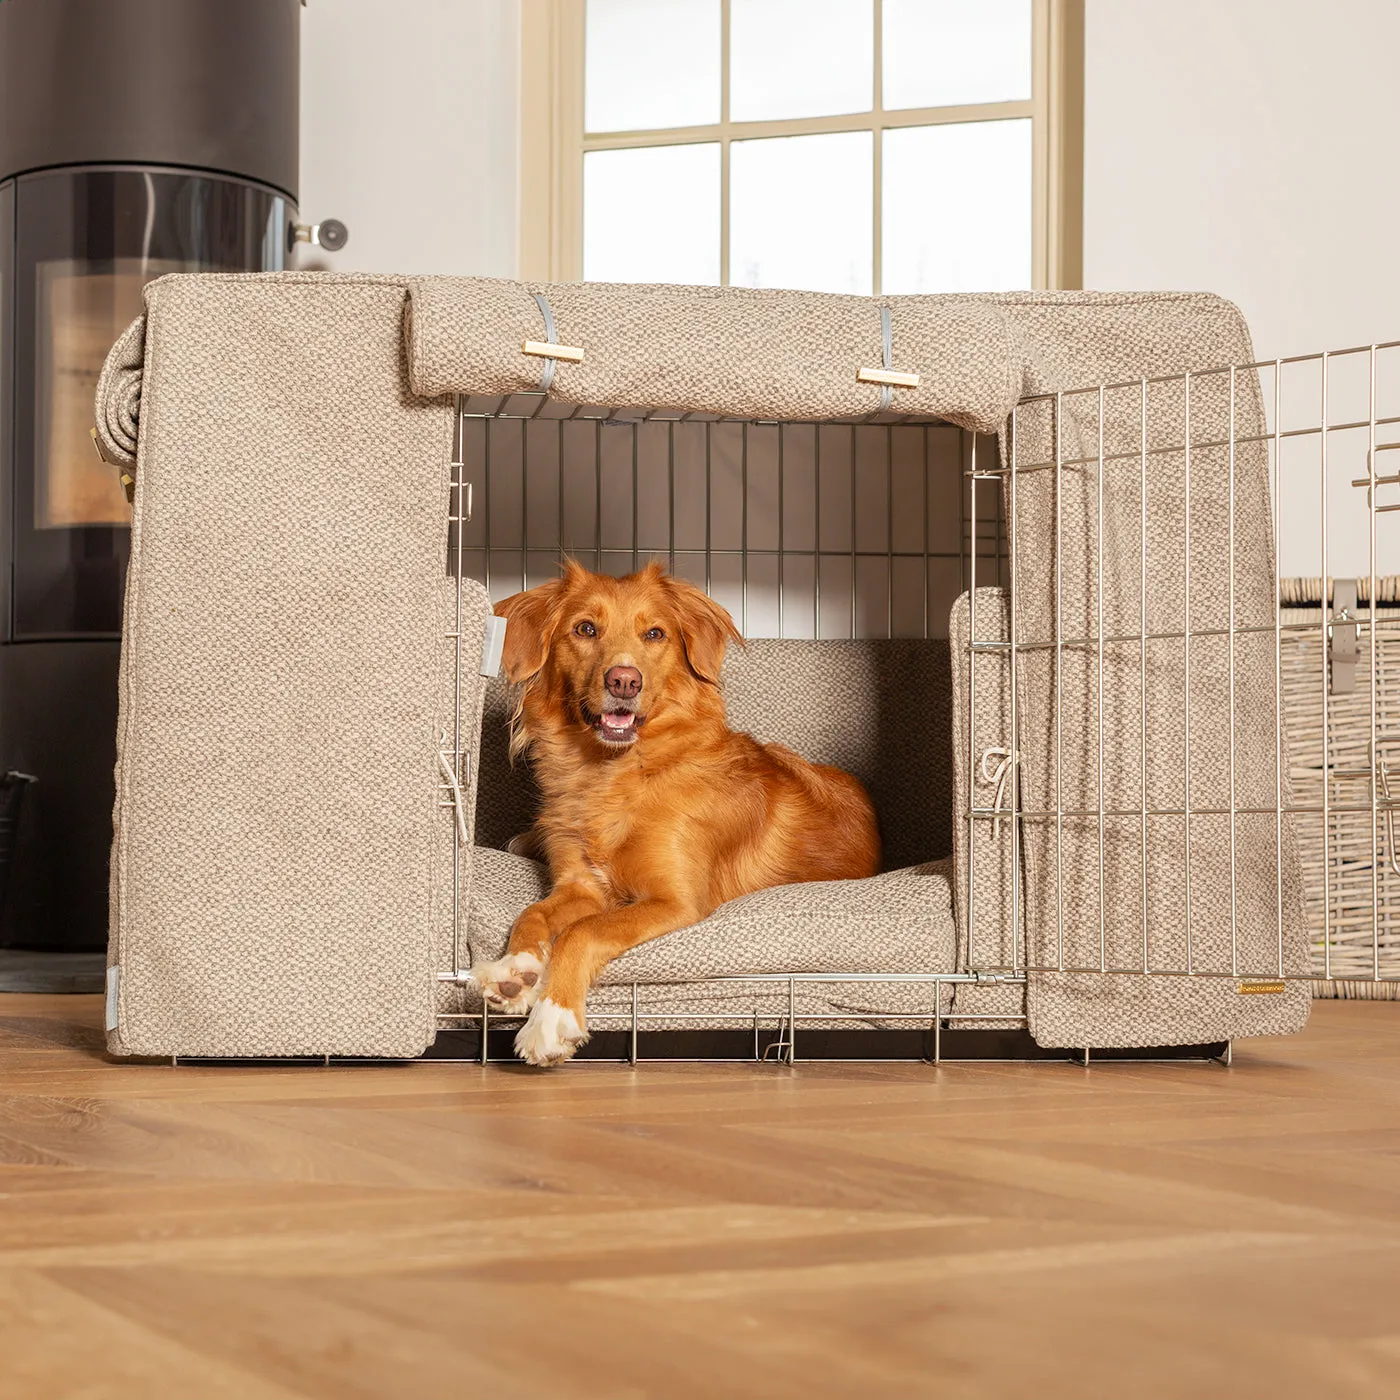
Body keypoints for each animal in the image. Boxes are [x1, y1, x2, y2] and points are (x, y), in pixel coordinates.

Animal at [476, 557, 879, 1058]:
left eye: (655, 634)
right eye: (585, 628)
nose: (624, 680)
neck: (614, 774)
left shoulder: (677, 902)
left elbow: (582, 932)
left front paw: (552, 1017)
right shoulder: (580, 886)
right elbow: (532, 914)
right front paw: (515, 969)